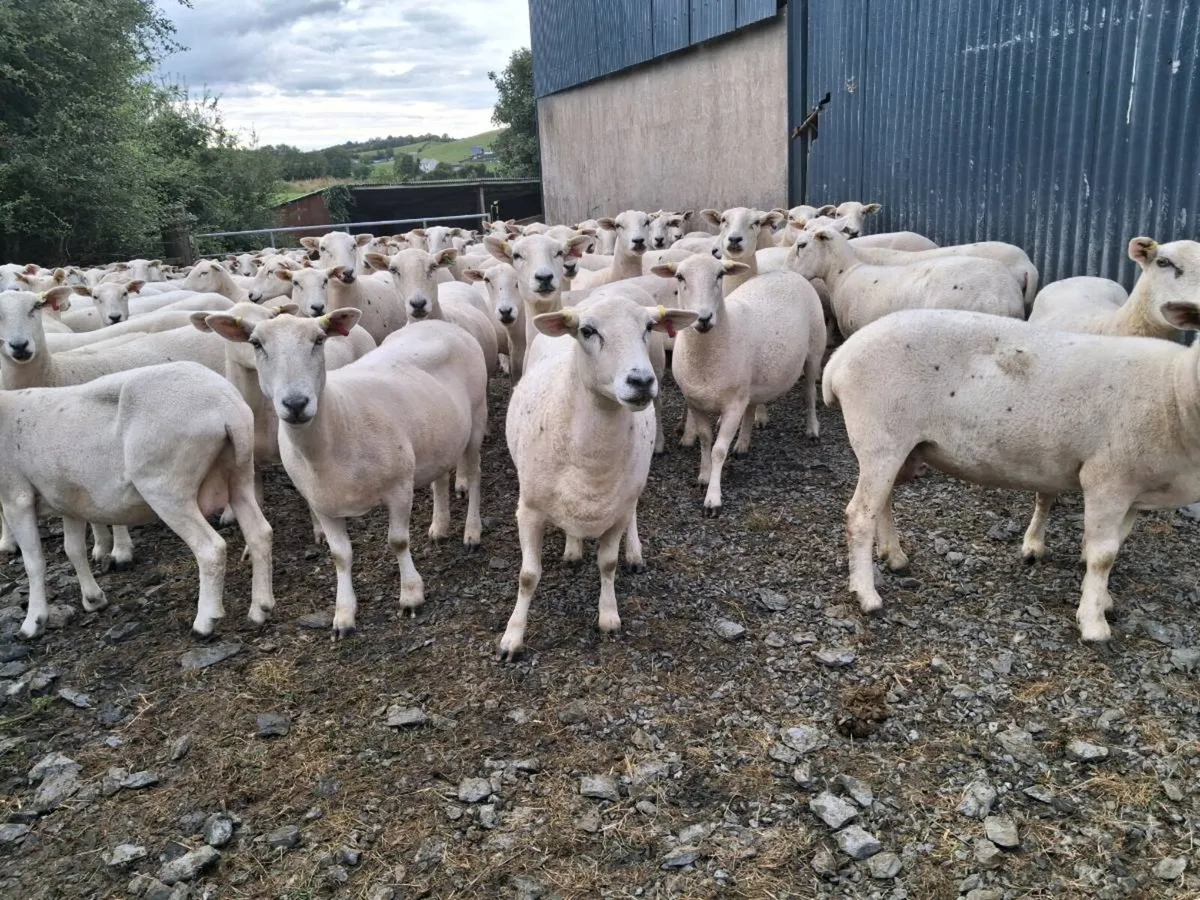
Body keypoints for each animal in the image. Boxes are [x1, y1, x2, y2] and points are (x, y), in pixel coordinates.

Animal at [1, 360, 274, 639]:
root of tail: (227, 407)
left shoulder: (15, 496)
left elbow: (34, 562)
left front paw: (33, 622)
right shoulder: (67, 499)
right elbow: (74, 550)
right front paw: (93, 599)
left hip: (166, 486)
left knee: (211, 548)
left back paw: (205, 622)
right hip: (239, 474)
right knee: (260, 533)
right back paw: (260, 608)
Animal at [204, 310, 487, 639]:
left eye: (319, 340)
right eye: (256, 343)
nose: (296, 403)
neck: (338, 422)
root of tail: (438, 323)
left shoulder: (399, 488)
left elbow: (398, 541)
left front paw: (410, 595)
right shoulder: (322, 505)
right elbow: (341, 555)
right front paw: (343, 614)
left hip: (476, 419)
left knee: (475, 476)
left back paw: (472, 532)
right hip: (439, 434)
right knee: (440, 478)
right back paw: (440, 526)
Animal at [499, 293, 697, 658]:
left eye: (649, 327)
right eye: (588, 331)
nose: (642, 381)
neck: (592, 461)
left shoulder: (617, 511)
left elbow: (607, 564)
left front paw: (608, 616)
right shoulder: (529, 510)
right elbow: (528, 576)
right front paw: (512, 636)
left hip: (635, 482)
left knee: (634, 511)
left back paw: (633, 552)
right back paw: (573, 548)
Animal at [652, 255, 826, 515]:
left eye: (720, 275)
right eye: (680, 277)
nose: (704, 318)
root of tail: (788, 273)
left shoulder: (733, 405)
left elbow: (718, 450)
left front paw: (713, 499)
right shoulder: (696, 402)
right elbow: (705, 440)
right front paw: (703, 477)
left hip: (814, 350)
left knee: (810, 394)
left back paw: (812, 429)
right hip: (750, 381)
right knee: (752, 406)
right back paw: (743, 444)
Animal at [822, 303, 1200, 642]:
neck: (1174, 391)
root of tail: (839, 357)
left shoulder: (1133, 491)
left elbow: (1114, 546)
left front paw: (1102, 601)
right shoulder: (1106, 479)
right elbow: (1103, 555)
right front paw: (1094, 624)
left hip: (902, 449)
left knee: (881, 502)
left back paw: (895, 557)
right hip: (880, 439)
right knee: (859, 515)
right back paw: (867, 595)